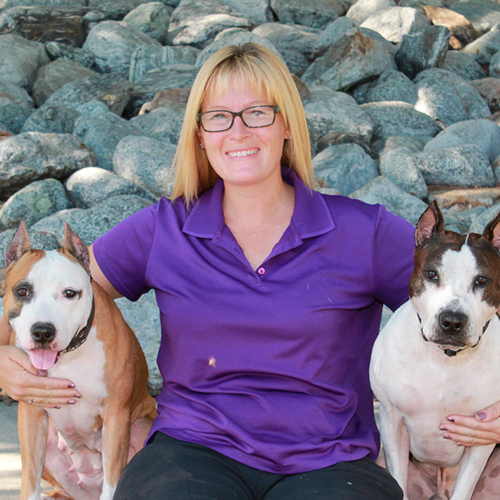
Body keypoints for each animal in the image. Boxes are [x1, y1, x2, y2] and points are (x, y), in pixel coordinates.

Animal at [3, 224, 156, 500]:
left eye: (69, 293)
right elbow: (29, 482)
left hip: (140, 427)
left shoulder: (116, 414)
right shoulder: (31, 415)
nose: (42, 332)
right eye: (22, 291)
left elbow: (112, 483)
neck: (68, 356)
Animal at [372, 201, 500, 498]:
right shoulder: (391, 420)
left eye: (481, 280)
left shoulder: (481, 435)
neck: (445, 359)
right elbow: (398, 482)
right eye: (432, 274)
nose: (452, 321)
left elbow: (464, 488)